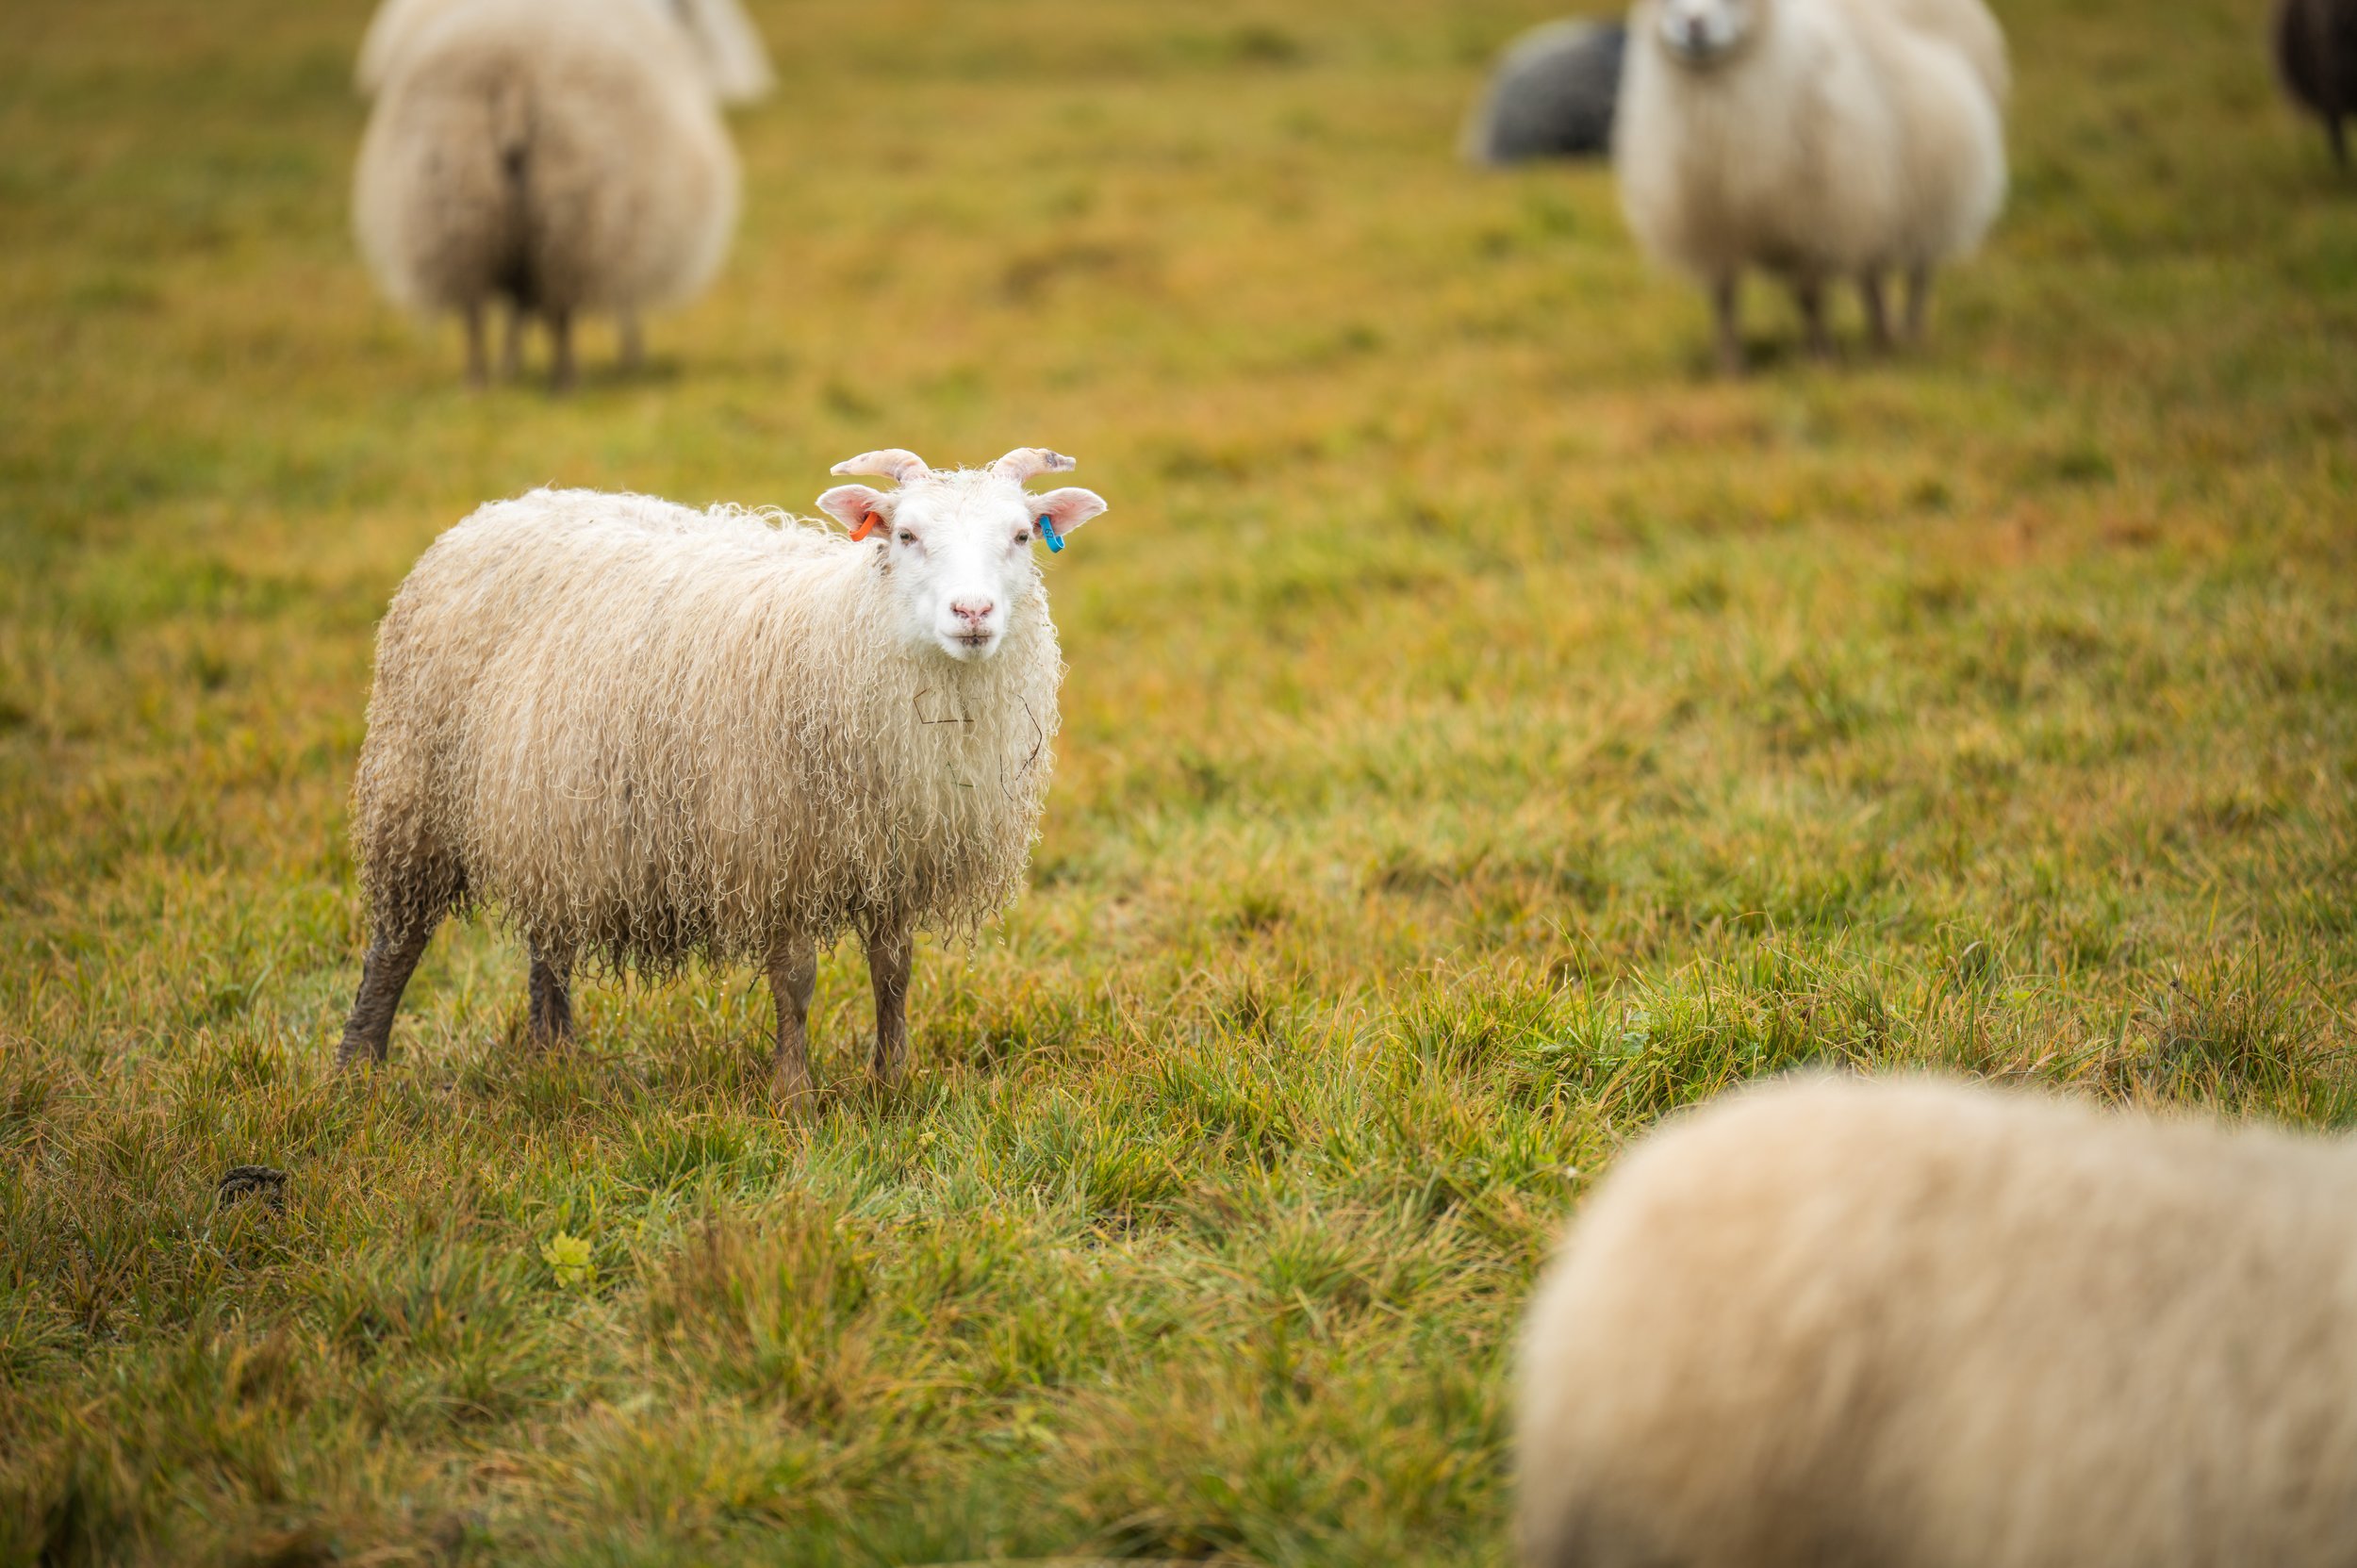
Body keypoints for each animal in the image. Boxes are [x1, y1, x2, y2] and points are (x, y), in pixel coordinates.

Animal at [333, 449, 1109, 1102]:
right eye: (907, 535)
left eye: (1021, 536)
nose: (972, 611)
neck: (847, 635)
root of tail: (507, 507)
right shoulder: (775, 848)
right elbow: (795, 982)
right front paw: (794, 1097)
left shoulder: (893, 853)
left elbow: (894, 971)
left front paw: (892, 1081)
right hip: (414, 789)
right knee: (396, 942)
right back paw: (357, 1070)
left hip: (555, 814)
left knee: (550, 935)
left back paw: (555, 1056)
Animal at [1612, 0, 2008, 372]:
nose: (1694, 25)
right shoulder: (1711, 226)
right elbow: (1724, 298)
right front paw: (1730, 367)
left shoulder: (1814, 221)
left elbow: (1809, 297)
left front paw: (1821, 361)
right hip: (1874, 201)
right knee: (1871, 276)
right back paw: (1882, 338)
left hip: (1924, 196)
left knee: (1918, 273)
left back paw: (1908, 335)